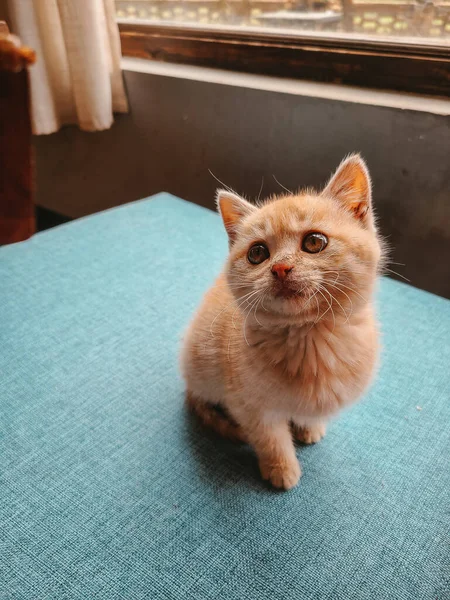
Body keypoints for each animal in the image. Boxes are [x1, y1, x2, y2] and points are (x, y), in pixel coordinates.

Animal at [181, 157, 384, 490]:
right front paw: (281, 469)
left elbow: (309, 413)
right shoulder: (249, 405)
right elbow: (270, 439)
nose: (280, 268)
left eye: (314, 242)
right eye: (257, 253)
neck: (309, 338)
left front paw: (308, 427)